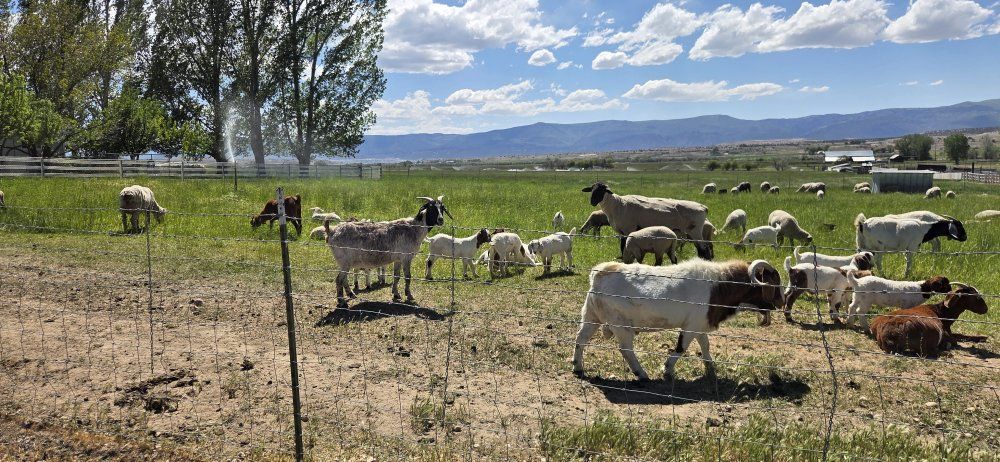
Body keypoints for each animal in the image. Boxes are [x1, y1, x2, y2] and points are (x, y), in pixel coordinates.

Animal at [572, 259, 781, 380]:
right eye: (774, 283)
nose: (780, 303)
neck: (719, 285)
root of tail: (599, 274)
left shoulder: (699, 325)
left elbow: (705, 345)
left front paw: (710, 366)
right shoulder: (690, 327)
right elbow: (681, 348)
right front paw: (667, 369)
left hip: (591, 317)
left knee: (580, 339)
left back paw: (578, 367)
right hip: (620, 324)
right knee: (626, 349)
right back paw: (641, 374)